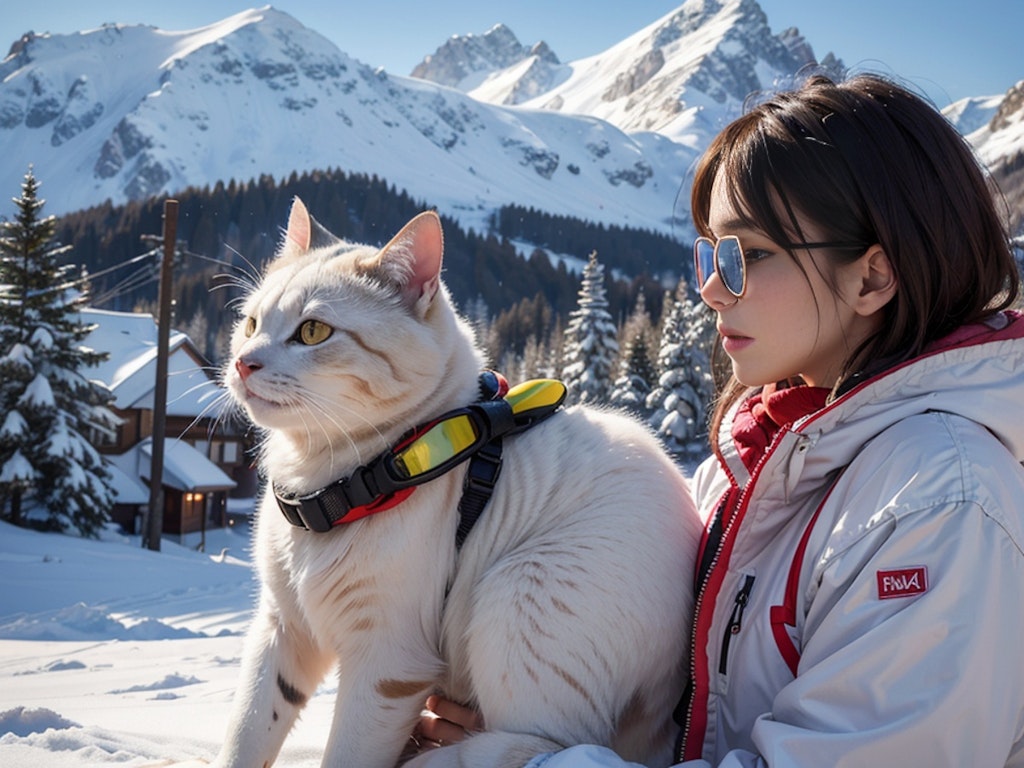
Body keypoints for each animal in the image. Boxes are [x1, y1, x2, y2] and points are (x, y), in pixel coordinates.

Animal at [211, 199, 700, 768]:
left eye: (313, 332)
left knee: (556, 743)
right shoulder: (281, 628)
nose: (243, 362)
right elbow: (245, 733)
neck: (330, 484)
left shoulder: (389, 661)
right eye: (250, 323)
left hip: (521, 591)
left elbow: (347, 754)